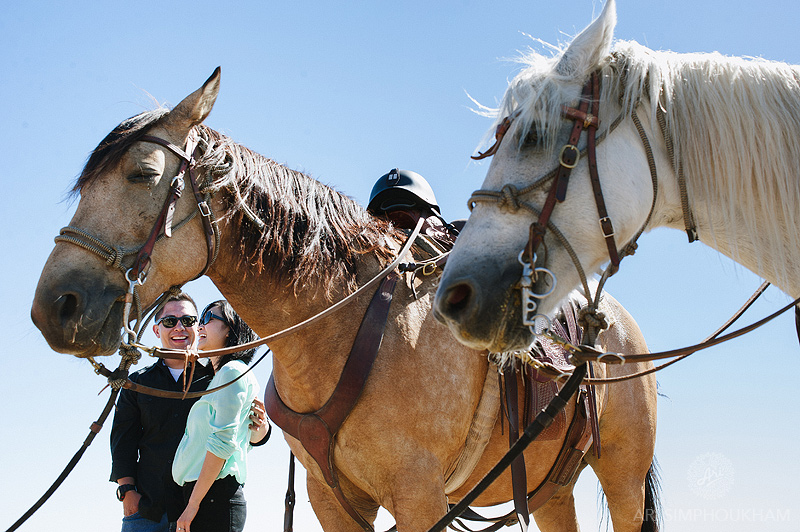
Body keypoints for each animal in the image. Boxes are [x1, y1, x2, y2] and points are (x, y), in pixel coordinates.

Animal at [31, 69, 656, 532]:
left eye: (142, 173)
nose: (54, 307)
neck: (342, 323)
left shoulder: (419, 495)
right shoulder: (330, 497)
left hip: (623, 477)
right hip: (554, 488)